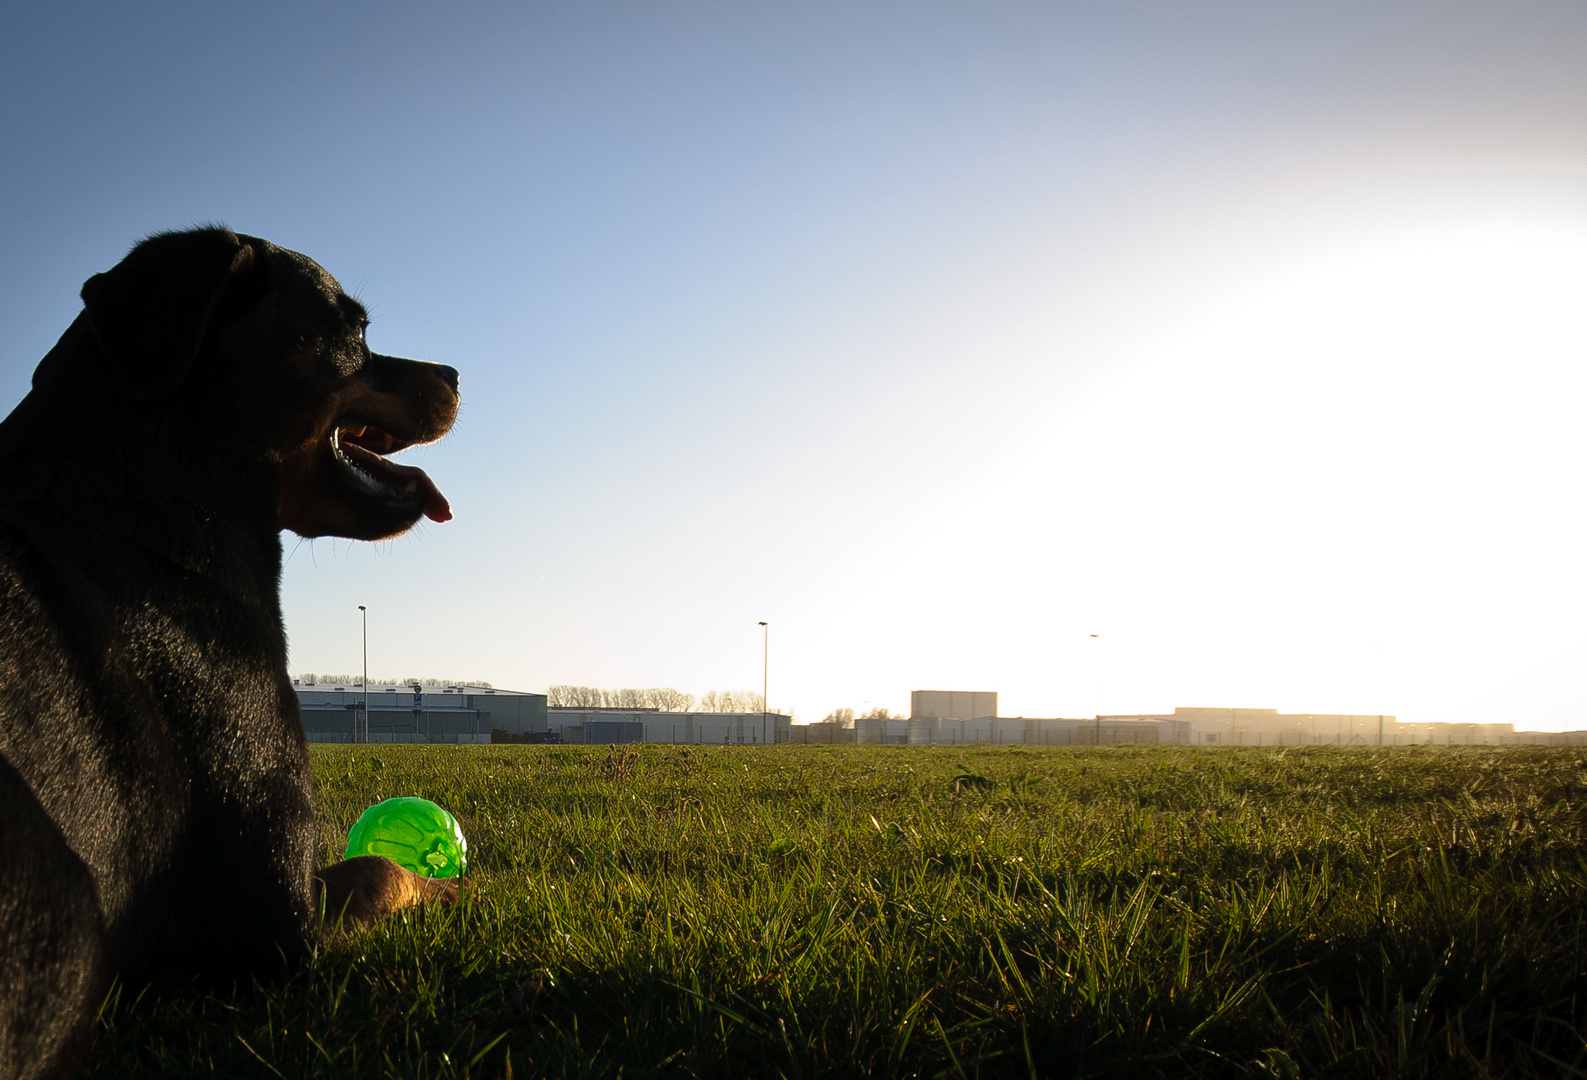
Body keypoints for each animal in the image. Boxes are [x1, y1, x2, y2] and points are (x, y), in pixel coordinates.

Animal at [0, 226, 460, 1078]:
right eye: (355, 330)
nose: (453, 373)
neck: (147, 499)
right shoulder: (272, 930)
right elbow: (379, 870)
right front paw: (442, 886)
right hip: (59, 894)